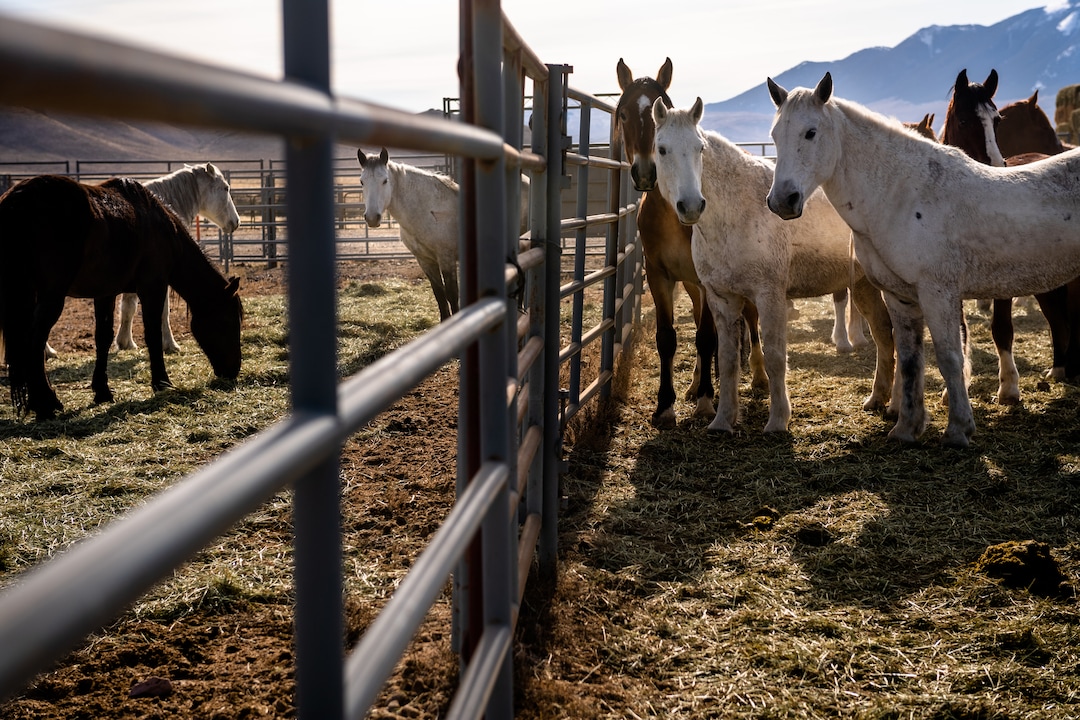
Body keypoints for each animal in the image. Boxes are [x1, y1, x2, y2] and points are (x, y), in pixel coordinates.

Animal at [0, 175, 243, 421]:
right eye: (228, 321)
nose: (233, 370)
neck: (162, 228)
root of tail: (17, 199)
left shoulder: (105, 293)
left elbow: (103, 338)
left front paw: (102, 391)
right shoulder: (152, 287)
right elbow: (152, 332)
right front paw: (161, 381)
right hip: (51, 297)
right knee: (34, 342)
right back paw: (46, 404)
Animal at [652, 97, 895, 433]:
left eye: (699, 148)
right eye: (662, 149)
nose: (691, 205)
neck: (737, 212)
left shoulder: (770, 295)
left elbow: (776, 356)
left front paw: (778, 420)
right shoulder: (721, 298)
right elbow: (726, 359)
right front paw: (722, 420)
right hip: (863, 285)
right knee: (884, 334)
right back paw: (878, 399)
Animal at [766, 72, 1080, 447]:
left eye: (811, 132)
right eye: (774, 135)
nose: (782, 200)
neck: (904, 193)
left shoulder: (938, 293)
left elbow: (949, 357)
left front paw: (958, 428)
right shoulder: (900, 297)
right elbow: (909, 358)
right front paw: (906, 427)